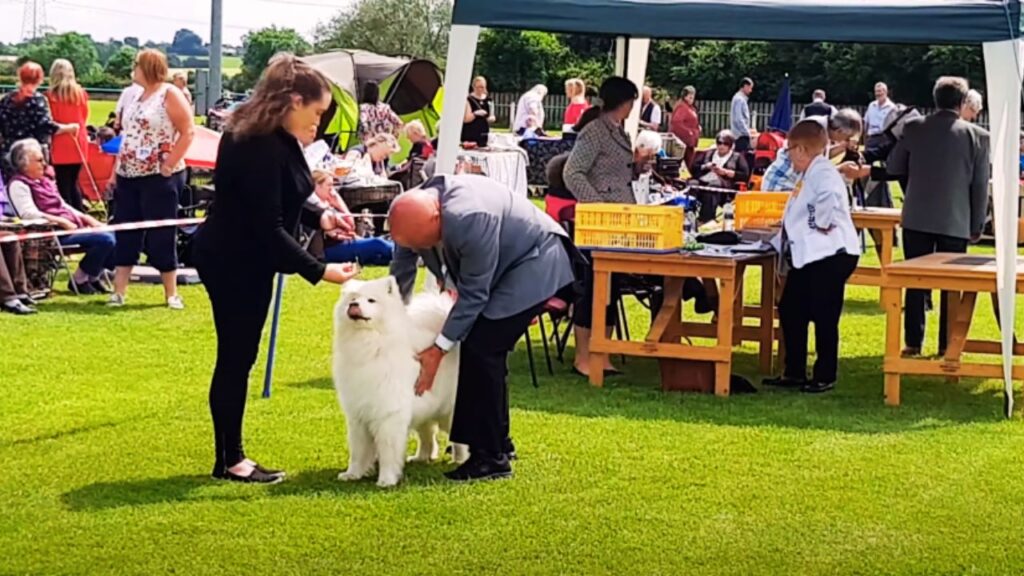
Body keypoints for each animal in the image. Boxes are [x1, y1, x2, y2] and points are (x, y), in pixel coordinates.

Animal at [331, 272, 468, 483]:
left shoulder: (389, 415)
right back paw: (421, 457)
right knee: (428, 435)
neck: (369, 345)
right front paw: (352, 474)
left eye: (371, 300)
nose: (353, 305)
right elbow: (358, 451)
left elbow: (388, 452)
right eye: (352, 299)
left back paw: (459, 459)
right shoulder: (357, 416)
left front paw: (386, 479)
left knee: (458, 438)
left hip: (449, 411)